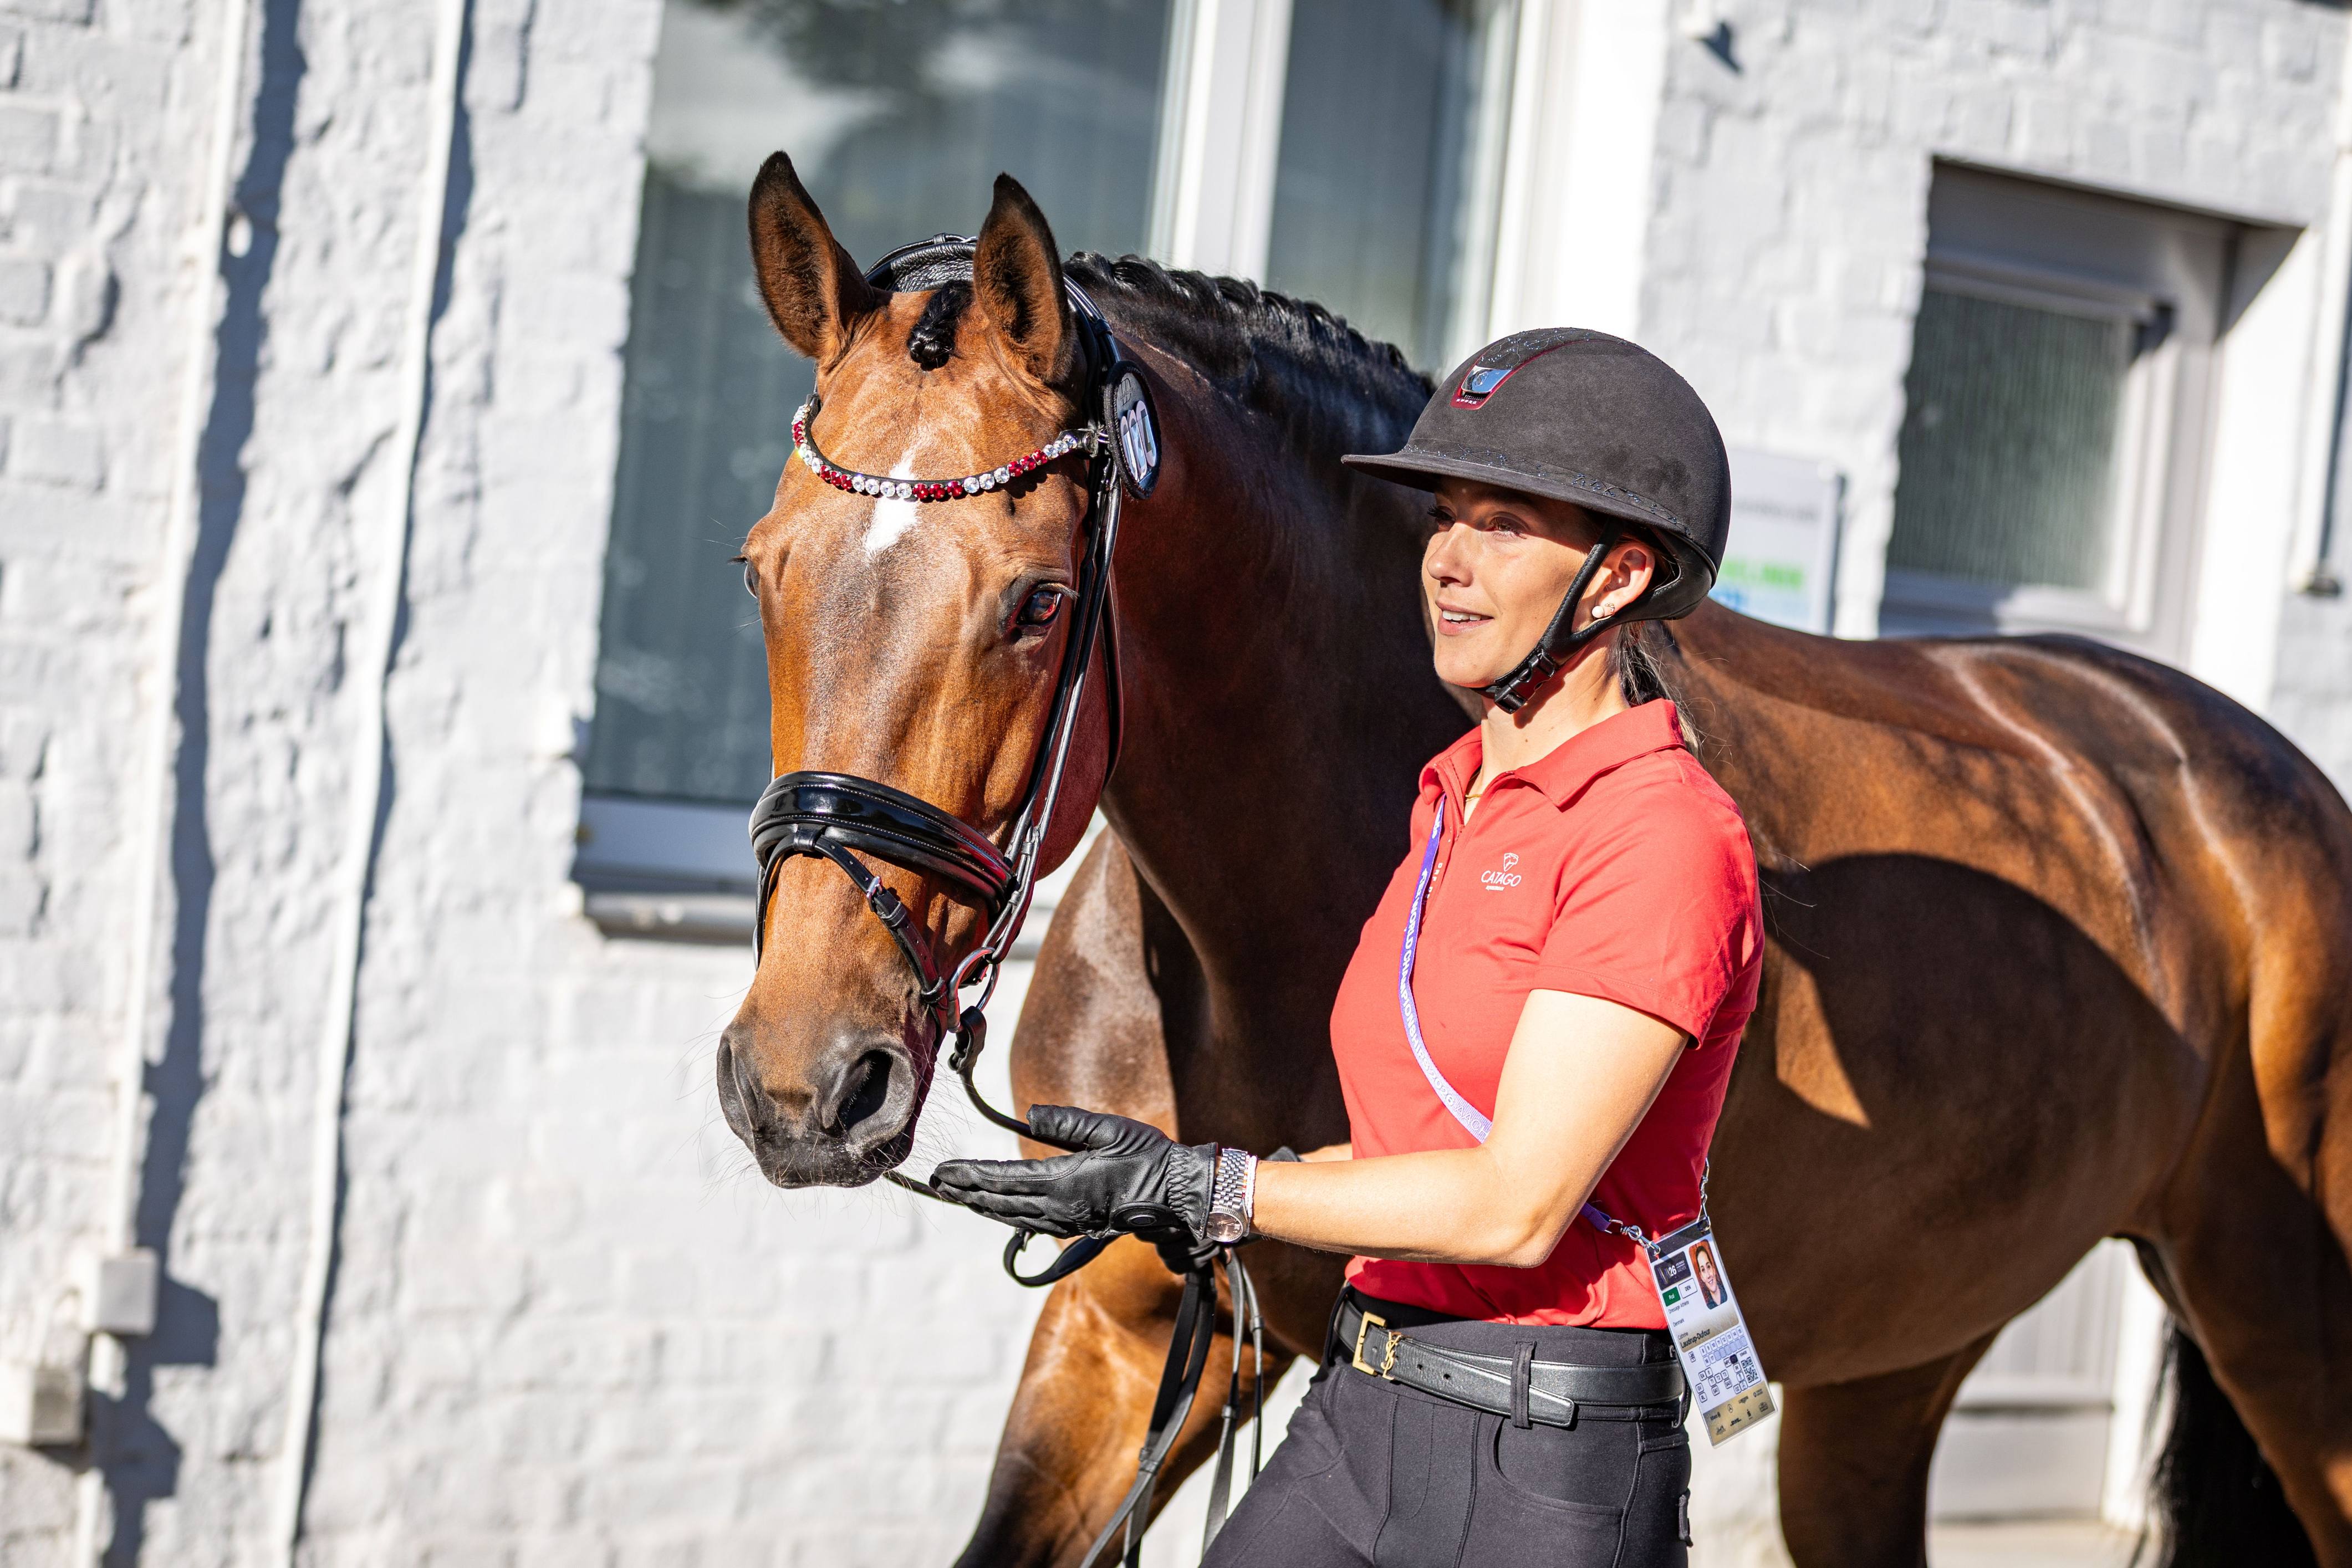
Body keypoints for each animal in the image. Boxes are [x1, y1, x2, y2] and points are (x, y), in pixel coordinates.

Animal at [715, 154, 2352, 1567]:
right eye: (760, 565)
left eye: (1038, 600)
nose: (801, 1081)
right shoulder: (1123, 1333)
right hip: (1898, 1356)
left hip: (2285, 1325)